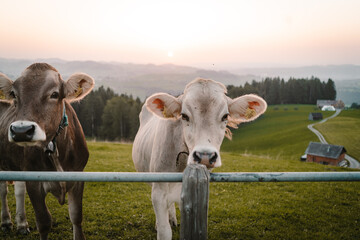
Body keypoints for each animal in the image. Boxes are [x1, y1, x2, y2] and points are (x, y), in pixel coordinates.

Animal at [0, 62, 94, 239]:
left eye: (55, 94)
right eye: (14, 94)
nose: (21, 131)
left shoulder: (78, 175)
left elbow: (76, 216)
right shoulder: (33, 181)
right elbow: (43, 222)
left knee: (18, 190)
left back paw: (22, 224)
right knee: (3, 190)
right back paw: (6, 222)